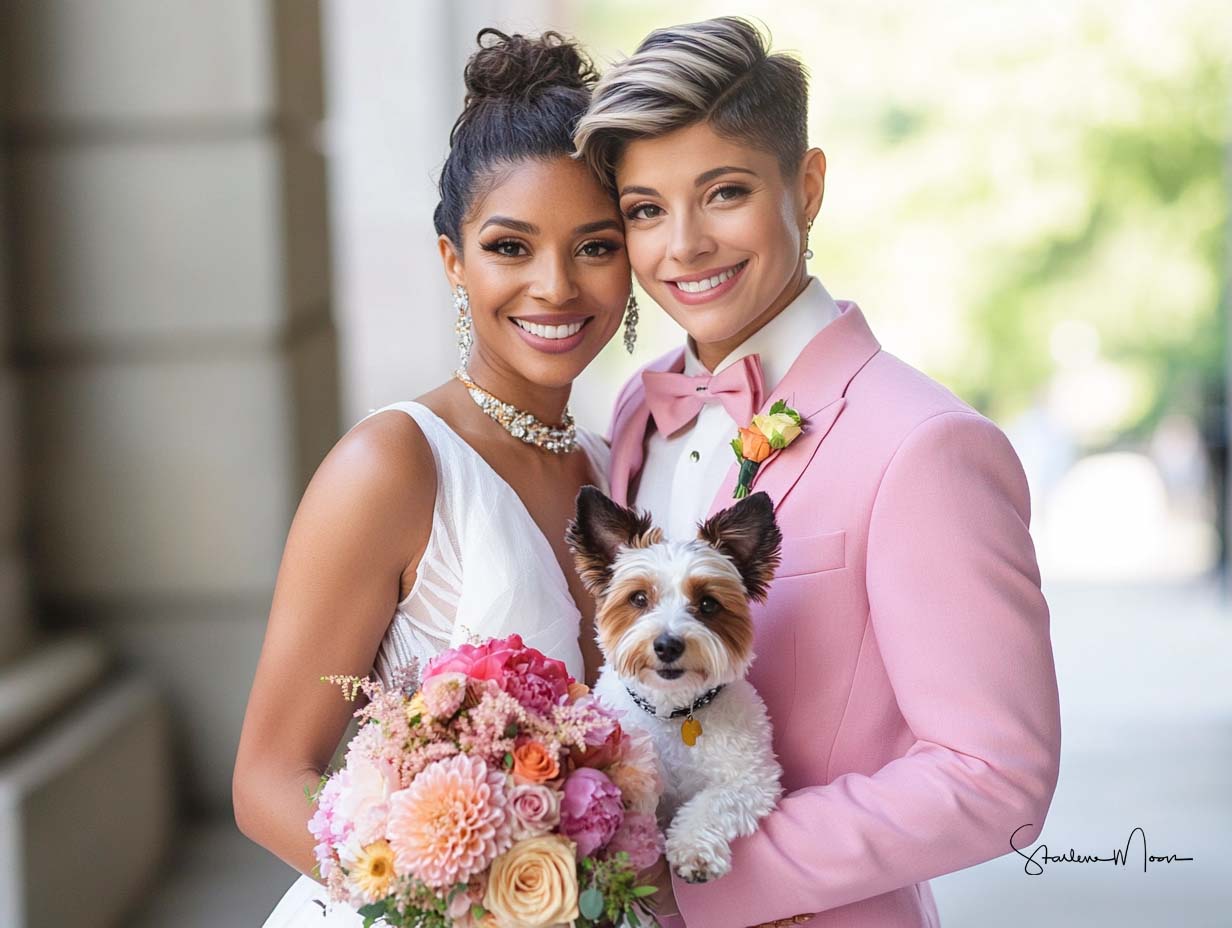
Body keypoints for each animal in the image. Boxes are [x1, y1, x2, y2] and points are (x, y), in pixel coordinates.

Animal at [564, 485, 783, 882]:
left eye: (708, 604)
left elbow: (713, 802)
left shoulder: (753, 779)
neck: (675, 712)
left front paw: (693, 849)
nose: (667, 645)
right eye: (638, 598)